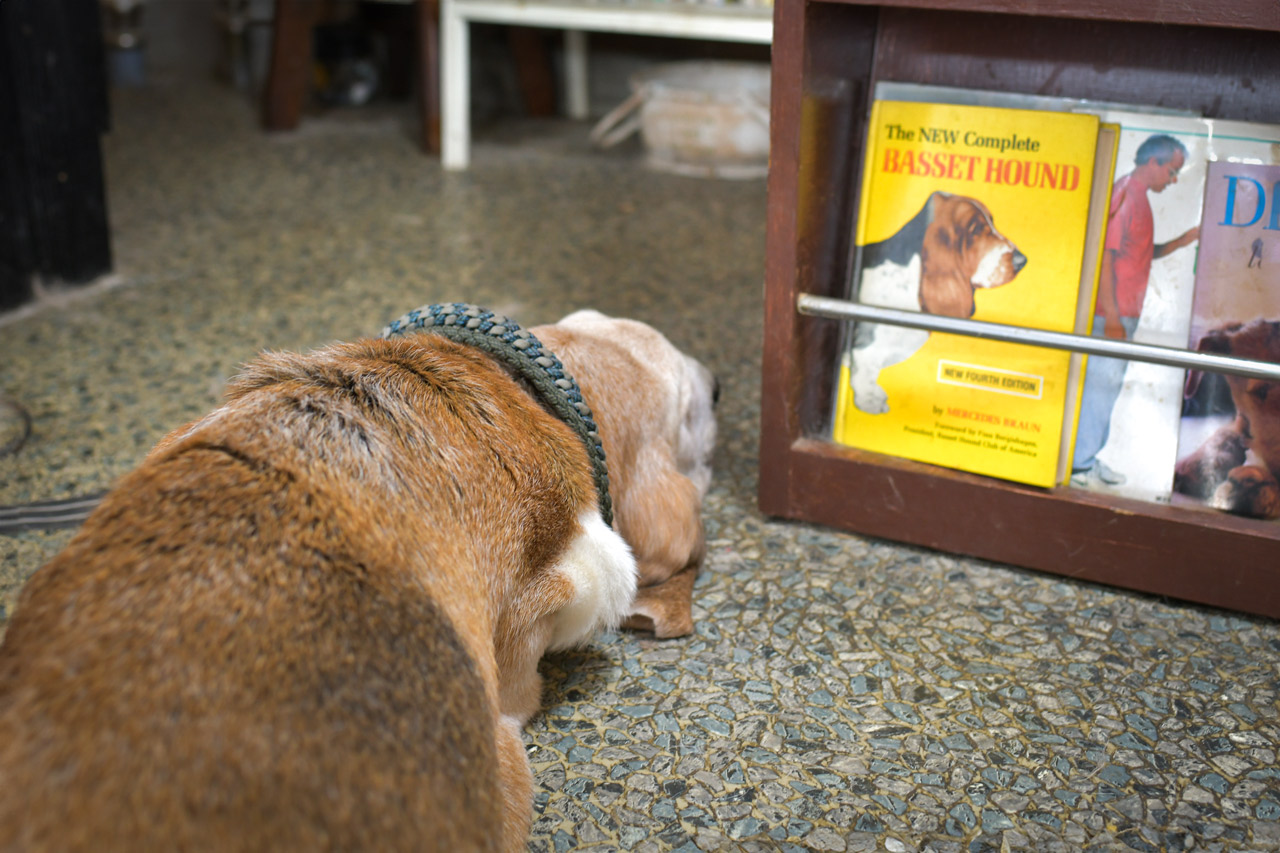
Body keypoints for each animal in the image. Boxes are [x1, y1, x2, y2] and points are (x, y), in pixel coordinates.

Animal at [849, 188, 1029, 412]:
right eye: (976, 229)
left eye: (992, 222)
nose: (1022, 260)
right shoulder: (866, 347)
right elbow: (864, 370)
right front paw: (871, 400)